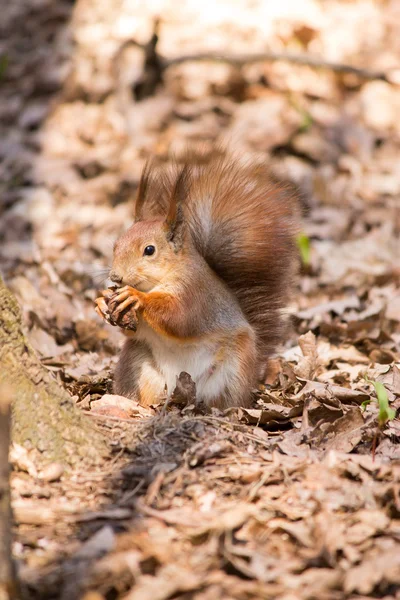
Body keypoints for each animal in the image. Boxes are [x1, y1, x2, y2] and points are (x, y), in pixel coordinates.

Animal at [95, 149, 298, 410]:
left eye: (149, 250)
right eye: (117, 244)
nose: (115, 276)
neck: (156, 283)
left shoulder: (194, 292)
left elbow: (179, 318)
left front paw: (136, 297)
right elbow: (131, 331)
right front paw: (102, 300)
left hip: (235, 368)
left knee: (226, 399)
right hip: (137, 362)